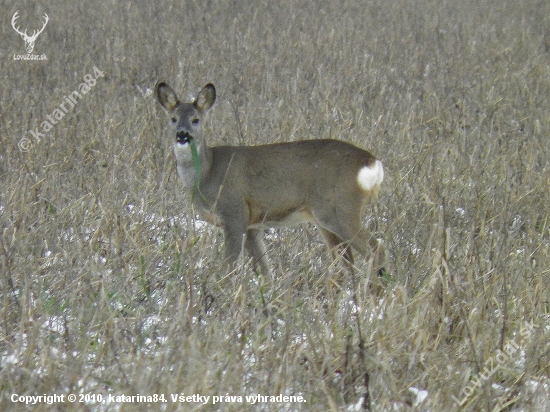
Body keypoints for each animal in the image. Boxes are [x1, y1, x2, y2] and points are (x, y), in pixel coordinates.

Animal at [157, 82, 386, 276]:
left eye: (196, 119)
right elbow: (265, 271)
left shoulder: (234, 213)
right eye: (173, 119)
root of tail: (371, 161)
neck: (207, 172)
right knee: (347, 261)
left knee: (375, 249)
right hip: (325, 218)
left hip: (341, 208)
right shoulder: (253, 225)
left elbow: (229, 267)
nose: (182, 135)